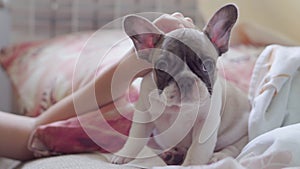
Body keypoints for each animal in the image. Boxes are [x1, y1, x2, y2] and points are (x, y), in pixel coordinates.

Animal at [111, 4, 250, 166]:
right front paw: (124, 154)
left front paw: (191, 165)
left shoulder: (206, 123)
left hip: (240, 135)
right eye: (163, 68)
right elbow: (135, 138)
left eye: (206, 66)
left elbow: (197, 149)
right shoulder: (144, 115)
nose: (185, 80)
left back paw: (218, 157)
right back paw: (172, 154)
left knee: (235, 147)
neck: (178, 108)